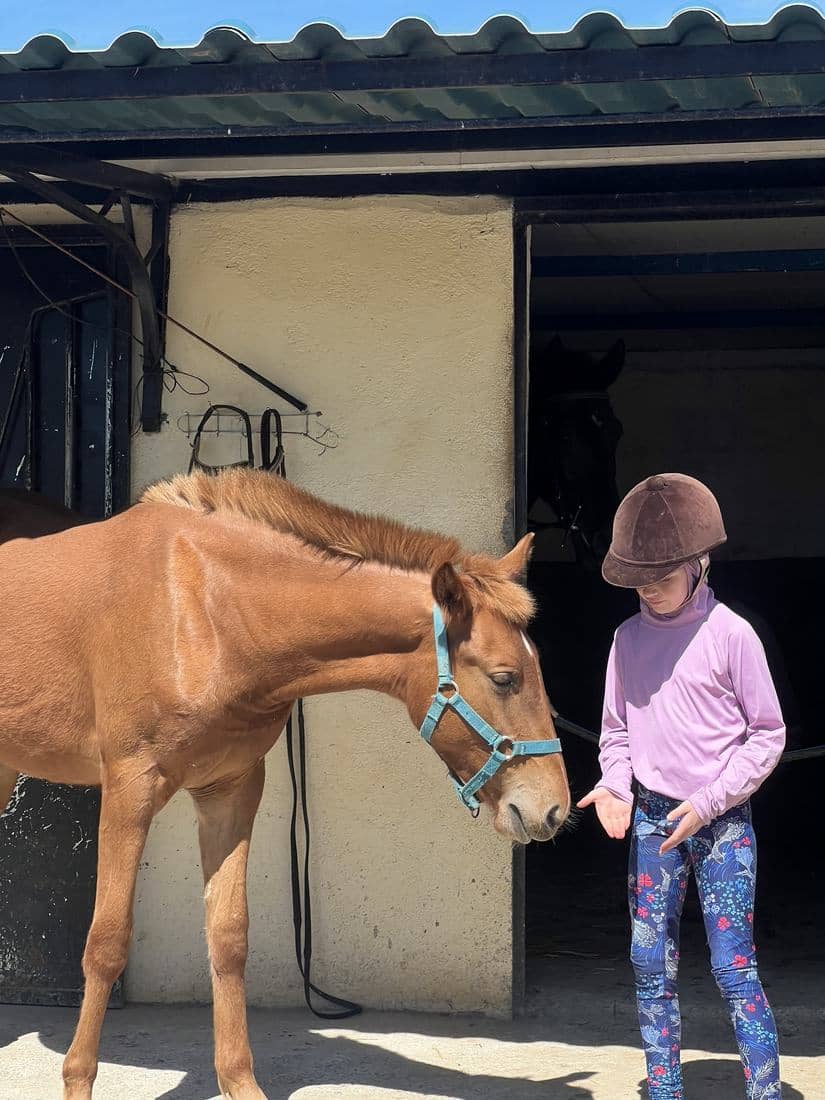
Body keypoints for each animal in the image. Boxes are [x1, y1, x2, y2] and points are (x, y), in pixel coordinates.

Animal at [0, 468, 570, 1100]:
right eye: (505, 678)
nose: (552, 809)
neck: (203, 610)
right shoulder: (130, 788)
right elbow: (105, 943)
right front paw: (77, 1081)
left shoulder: (230, 789)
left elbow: (228, 936)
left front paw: (239, 1082)